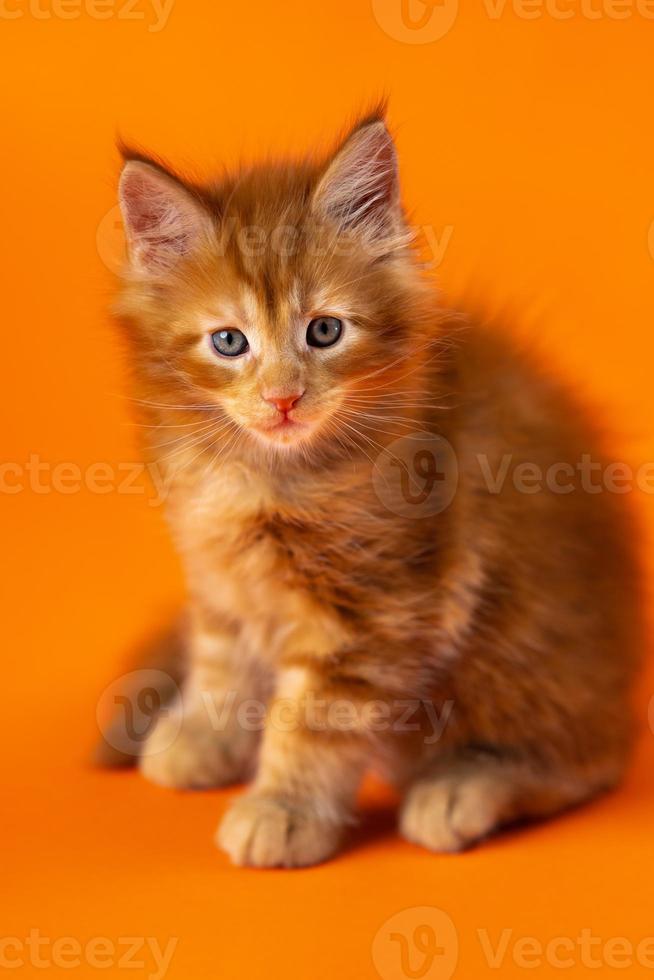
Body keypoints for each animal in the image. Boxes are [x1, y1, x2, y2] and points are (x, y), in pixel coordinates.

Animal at [105, 111, 644, 868]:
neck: (263, 475)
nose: (283, 399)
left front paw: (283, 810)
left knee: (587, 759)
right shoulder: (219, 572)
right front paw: (203, 737)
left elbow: (313, 718)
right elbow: (222, 656)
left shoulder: (377, 608)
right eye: (229, 342)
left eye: (325, 330)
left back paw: (462, 788)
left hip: (514, 648)